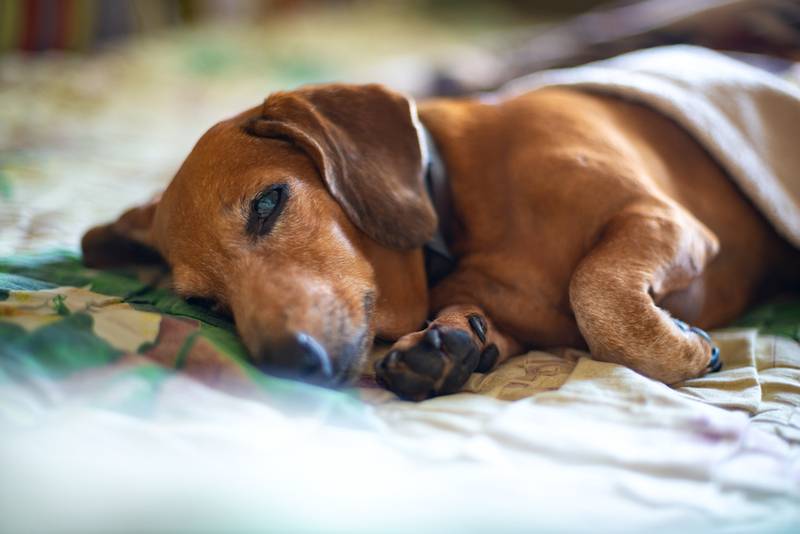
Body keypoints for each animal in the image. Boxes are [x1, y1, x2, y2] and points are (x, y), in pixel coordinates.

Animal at [83, 78, 800, 398]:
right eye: (205, 305)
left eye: (267, 203)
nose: (288, 365)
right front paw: (452, 342)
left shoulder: (662, 218)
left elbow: (596, 291)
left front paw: (682, 348)